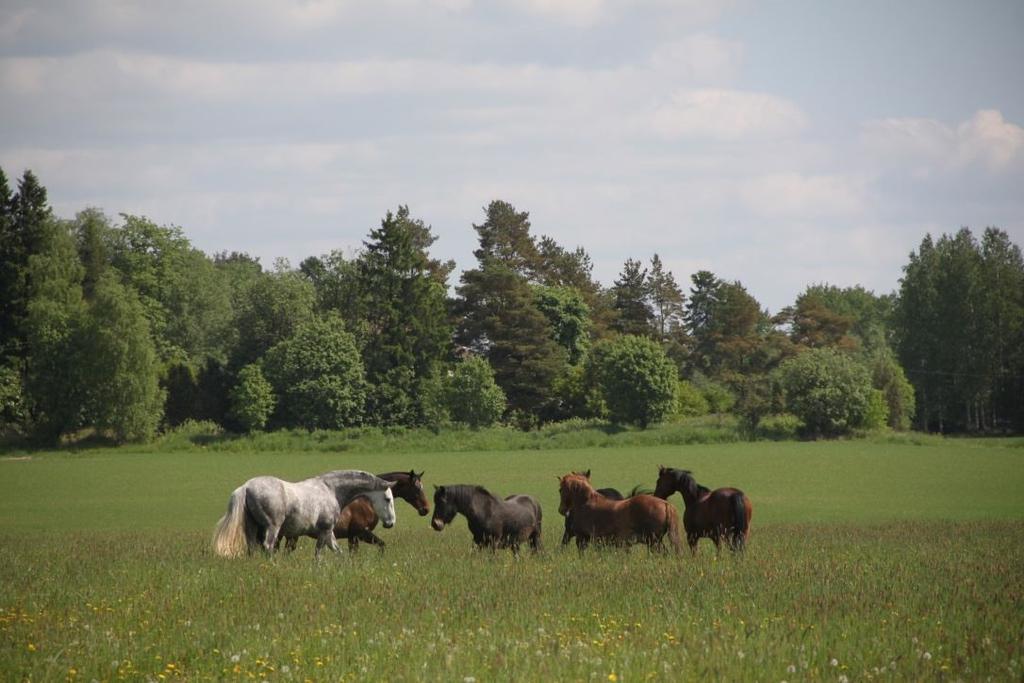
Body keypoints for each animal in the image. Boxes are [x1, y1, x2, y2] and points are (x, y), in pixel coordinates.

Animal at [211, 471, 395, 561]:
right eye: (387, 499)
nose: (390, 523)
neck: (331, 490)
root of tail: (246, 487)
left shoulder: (329, 533)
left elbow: (338, 552)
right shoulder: (325, 531)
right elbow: (319, 554)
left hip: (252, 528)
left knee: (252, 548)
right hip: (272, 528)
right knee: (268, 547)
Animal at [280, 471, 428, 557]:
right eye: (417, 488)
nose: (426, 509)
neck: (366, 502)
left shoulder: (353, 537)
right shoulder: (360, 533)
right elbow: (380, 546)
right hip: (292, 537)